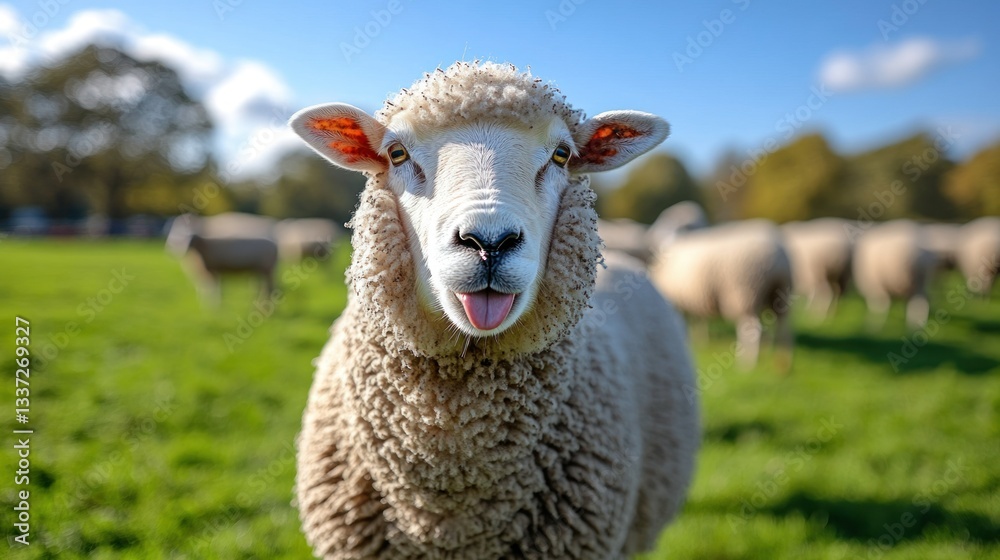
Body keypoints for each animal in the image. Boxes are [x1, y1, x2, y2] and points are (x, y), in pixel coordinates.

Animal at [649, 219, 794, 371]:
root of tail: (778, 257)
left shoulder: (676, 302)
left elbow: (682, 324)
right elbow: (693, 322)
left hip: (745, 291)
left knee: (753, 329)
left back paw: (747, 363)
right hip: (780, 292)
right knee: (783, 325)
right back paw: (783, 360)